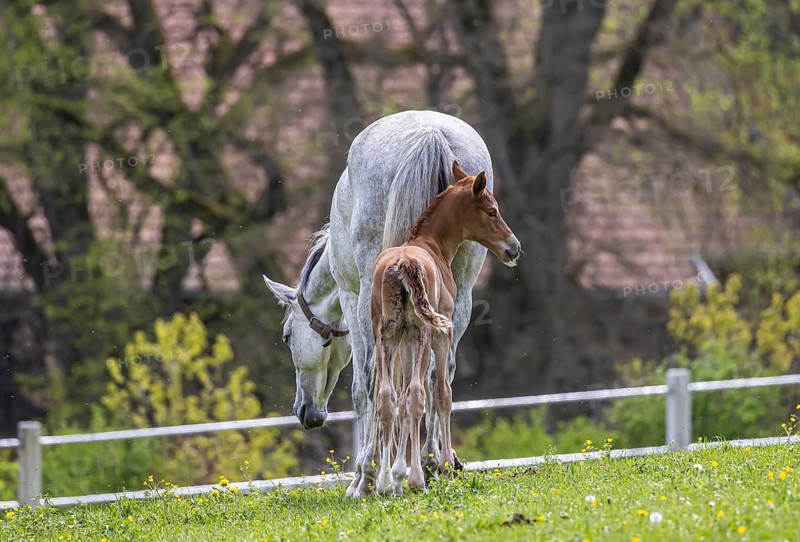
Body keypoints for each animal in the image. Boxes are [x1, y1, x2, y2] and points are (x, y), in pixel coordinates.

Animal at [262, 110, 494, 498]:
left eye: (286, 337)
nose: (307, 412)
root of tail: (431, 134)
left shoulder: (352, 297)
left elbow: (365, 387)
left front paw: (369, 474)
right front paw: (412, 465)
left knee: (376, 378)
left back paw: (370, 477)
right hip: (457, 298)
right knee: (439, 376)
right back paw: (435, 463)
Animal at [371, 163, 520, 495]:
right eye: (492, 211)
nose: (514, 248)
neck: (431, 245)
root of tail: (404, 265)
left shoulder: (402, 339)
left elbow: (401, 399)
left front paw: (397, 474)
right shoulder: (443, 332)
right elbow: (442, 394)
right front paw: (446, 466)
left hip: (387, 335)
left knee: (388, 397)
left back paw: (385, 482)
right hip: (424, 333)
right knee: (418, 395)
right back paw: (416, 479)